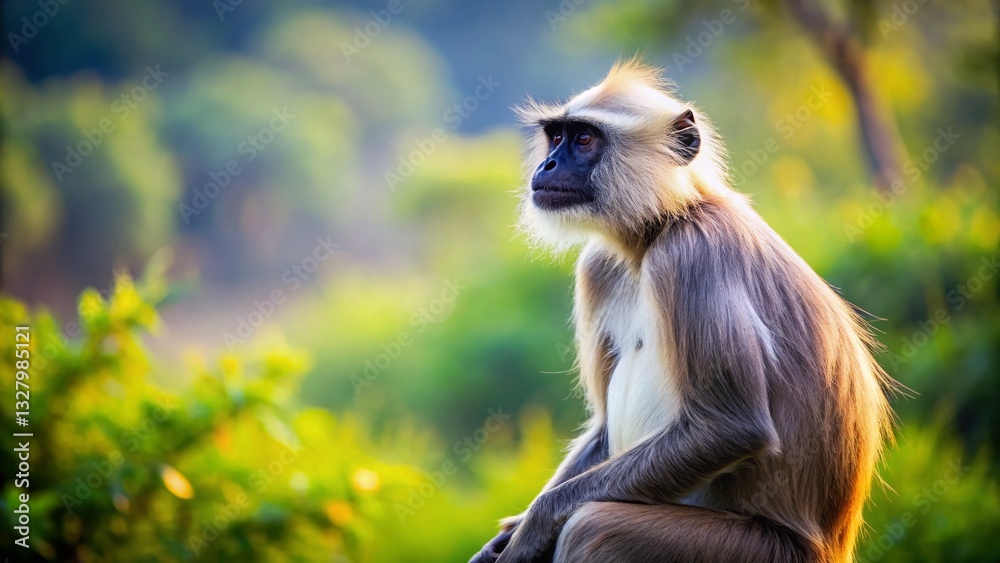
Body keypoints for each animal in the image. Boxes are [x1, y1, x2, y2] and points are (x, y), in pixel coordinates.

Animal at [469, 59, 894, 563]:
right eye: (556, 138)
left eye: (585, 140)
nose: (547, 164)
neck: (662, 226)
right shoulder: (598, 267)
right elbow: (605, 428)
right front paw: (507, 537)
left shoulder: (692, 255)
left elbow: (731, 428)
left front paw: (531, 528)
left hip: (757, 549)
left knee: (593, 528)